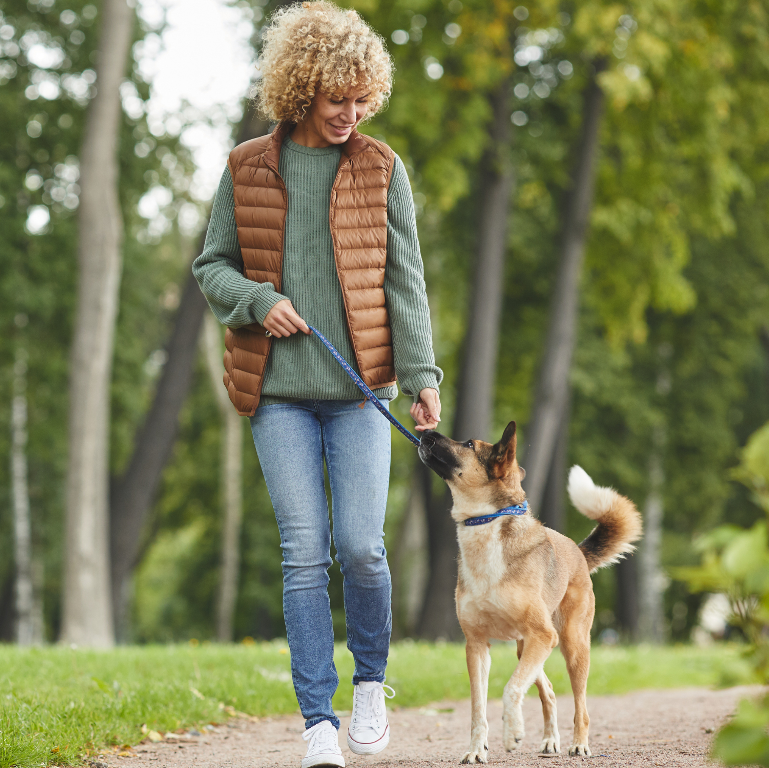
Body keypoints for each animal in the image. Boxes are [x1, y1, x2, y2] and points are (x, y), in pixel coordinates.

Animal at [416, 424, 640, 764]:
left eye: (468, 444)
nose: (425, 432)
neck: (486, 525)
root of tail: (578, 551)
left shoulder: (542, 636)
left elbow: (510, 689)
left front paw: (512, 734)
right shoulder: (477, 646)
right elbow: (478, 707)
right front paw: (476, 750)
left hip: (570, 643)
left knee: (580, 705)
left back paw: (579, 744)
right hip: (527, 647)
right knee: (548, 690)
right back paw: (550, 741)